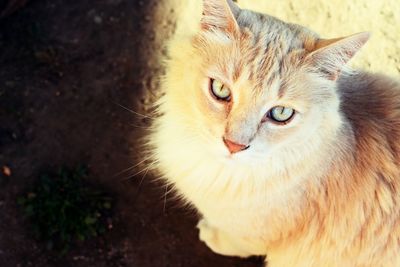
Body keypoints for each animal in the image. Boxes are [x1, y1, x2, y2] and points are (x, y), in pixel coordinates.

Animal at [148, 0, 400, 266]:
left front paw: (210, 234)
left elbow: (233, 242)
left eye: (280, 113)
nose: (234, 145)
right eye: (220, 90)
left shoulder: (253, 236)